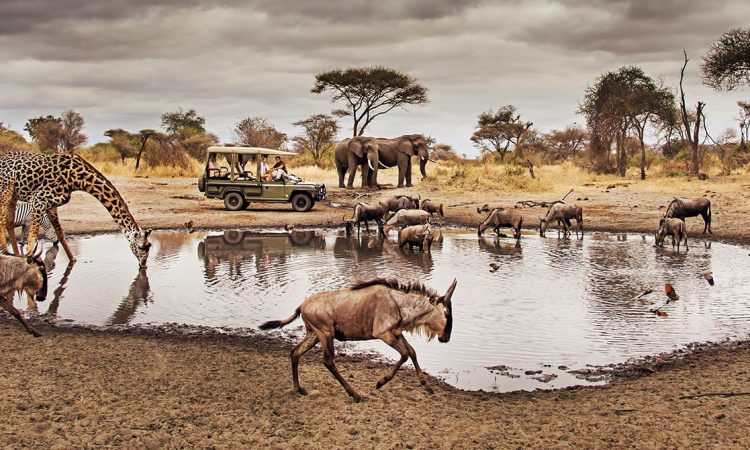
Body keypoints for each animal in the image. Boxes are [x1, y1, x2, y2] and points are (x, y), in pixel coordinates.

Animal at [0, 153, 153, 268]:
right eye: (141, 247)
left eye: (149, 246)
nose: (144, 264)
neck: (77, 179)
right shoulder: (37, 201)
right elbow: (32, 238)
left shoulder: (51, 205)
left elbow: (60, 233)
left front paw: (73, 260)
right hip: (6, 190)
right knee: (2, 222)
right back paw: (6, 254)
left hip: (13, 196)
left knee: (8, 223)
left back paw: (15, 255)